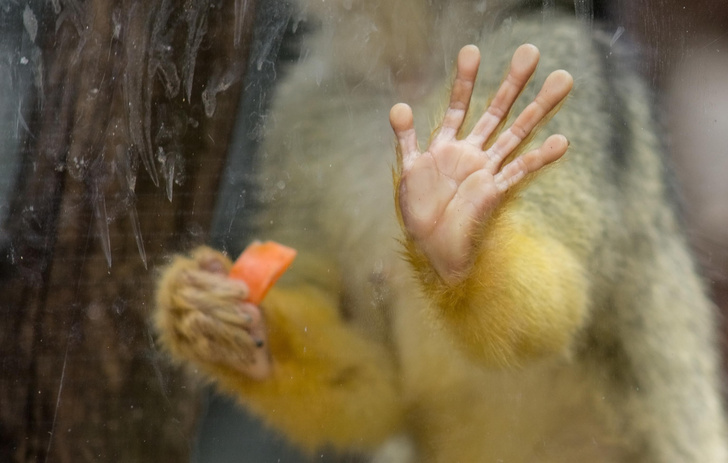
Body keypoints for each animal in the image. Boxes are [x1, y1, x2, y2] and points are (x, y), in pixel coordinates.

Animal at [155, 1, 728, 462]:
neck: (416, 63)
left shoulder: (558, 54)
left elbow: (556, 310)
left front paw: (454, 224)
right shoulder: (300, 111)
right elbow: (375, 394)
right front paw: (221, 325)